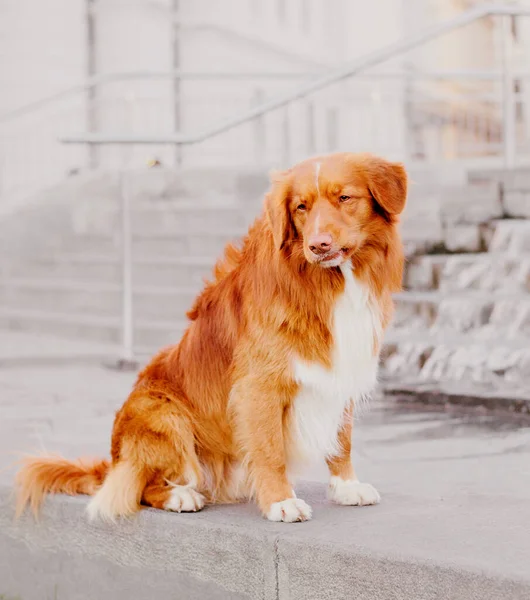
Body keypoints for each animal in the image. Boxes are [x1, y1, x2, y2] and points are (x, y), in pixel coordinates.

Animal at [15, 152, 404, 524]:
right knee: (140, 485)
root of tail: (112, 459)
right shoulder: (259, 385)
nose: (318, 245)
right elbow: (270, 449)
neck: (329, 282)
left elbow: (342, 440)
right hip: (162, 412)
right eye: (301, 207)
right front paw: (281, 501)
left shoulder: (342, 368)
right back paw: (180, 496)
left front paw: (347, 486)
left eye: (344, 198)